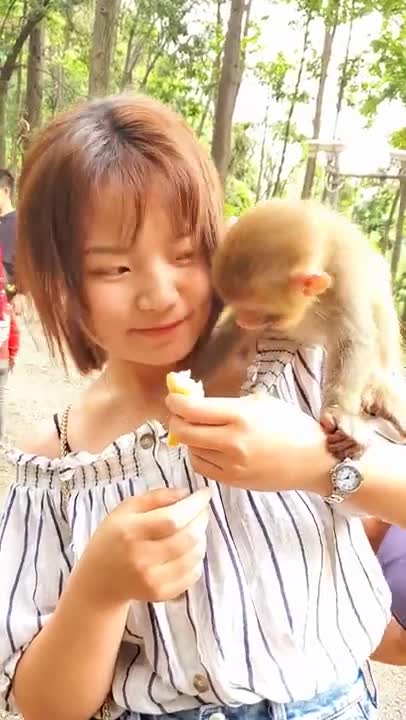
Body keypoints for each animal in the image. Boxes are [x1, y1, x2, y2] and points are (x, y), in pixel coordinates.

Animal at [191, 199, 406, 460]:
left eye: (256, 312)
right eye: (237, 306)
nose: (244, 321)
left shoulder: (346, 283)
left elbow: (353, 341)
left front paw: (341, 412)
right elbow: (229, 332)